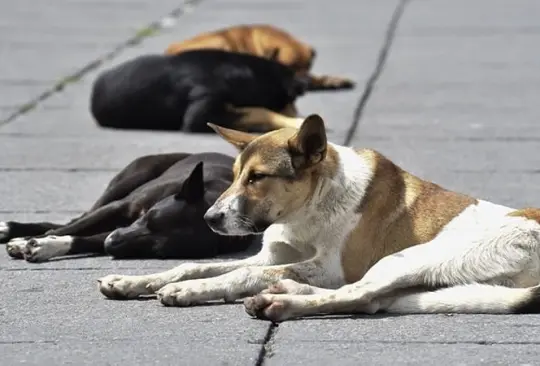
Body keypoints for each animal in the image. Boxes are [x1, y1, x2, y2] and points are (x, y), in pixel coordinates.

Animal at [2, 153, 255, 262]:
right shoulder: (119, 209)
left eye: (158, 252)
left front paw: (46, 246)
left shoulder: (118, 231)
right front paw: (30, 241)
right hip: (129, 180)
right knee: (75, 220)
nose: (111, 244)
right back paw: (12, 230)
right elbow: (68, 229)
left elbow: (85, 239)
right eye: (149, 216)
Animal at [97, 114, 540, 320]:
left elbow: (240, 274)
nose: (209, 218)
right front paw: (133, 281)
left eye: (257, 178)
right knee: (373, 300)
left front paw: (188, 292)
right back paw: (286, 292)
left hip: (414, 258)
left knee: (359, 295)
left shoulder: (331, 267)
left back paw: (281, 303)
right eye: (236, 174)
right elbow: (193, 265)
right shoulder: (272, 255)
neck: (310, 207)